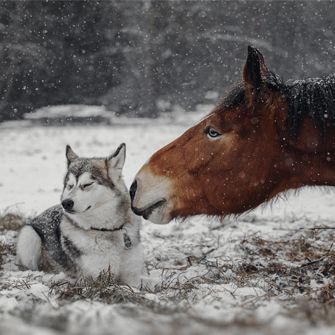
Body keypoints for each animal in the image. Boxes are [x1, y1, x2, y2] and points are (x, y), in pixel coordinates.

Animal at [17, 144, 143, 288]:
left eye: (87, 184)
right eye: (70, 186)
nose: (66, 203)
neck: (107, 230)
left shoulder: (132, 276)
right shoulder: (101, 278)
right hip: (29, 235)